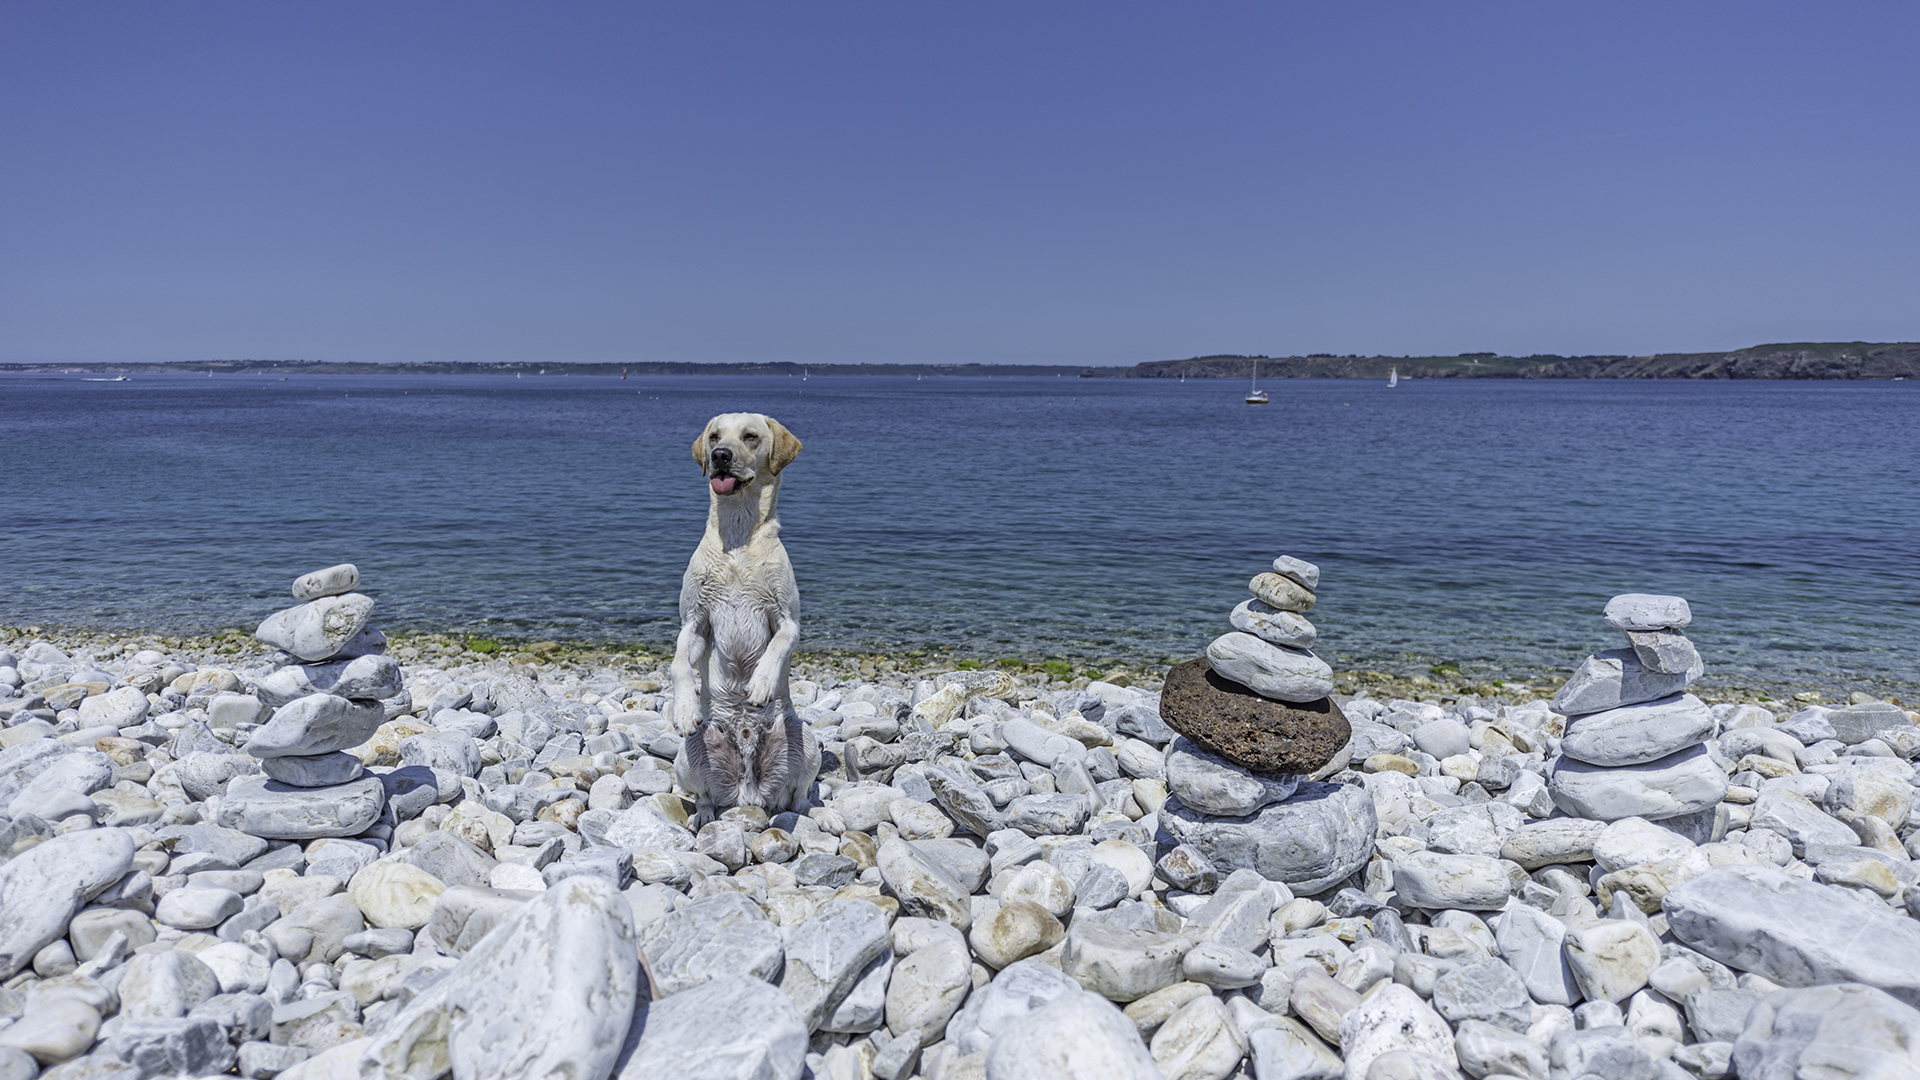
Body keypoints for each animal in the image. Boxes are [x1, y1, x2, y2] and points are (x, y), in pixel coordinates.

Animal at [672, 407, 821, 818]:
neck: (738, 536)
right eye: (714, 436)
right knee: (704, 795)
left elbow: (777, 647)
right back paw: (703, 815)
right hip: (686, 756)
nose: (720, 455)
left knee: (799, 792)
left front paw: (760, 684)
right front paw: (684, 708)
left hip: (808, 740)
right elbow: (678, 664)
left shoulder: (787, 619)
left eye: (750, 436)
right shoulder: (694, 622)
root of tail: (748, 794)